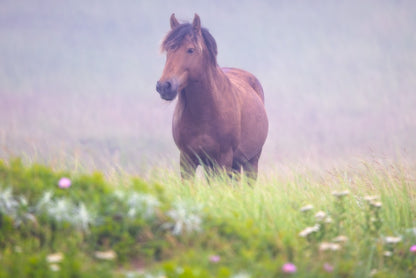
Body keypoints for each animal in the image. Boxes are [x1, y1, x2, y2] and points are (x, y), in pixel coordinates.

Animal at [154, 14, 268, 181]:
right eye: (169, 49)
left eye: (191, 50)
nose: (164, 86)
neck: (205, 112)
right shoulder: (186, 160)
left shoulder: (223, 159)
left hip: (251, 162)